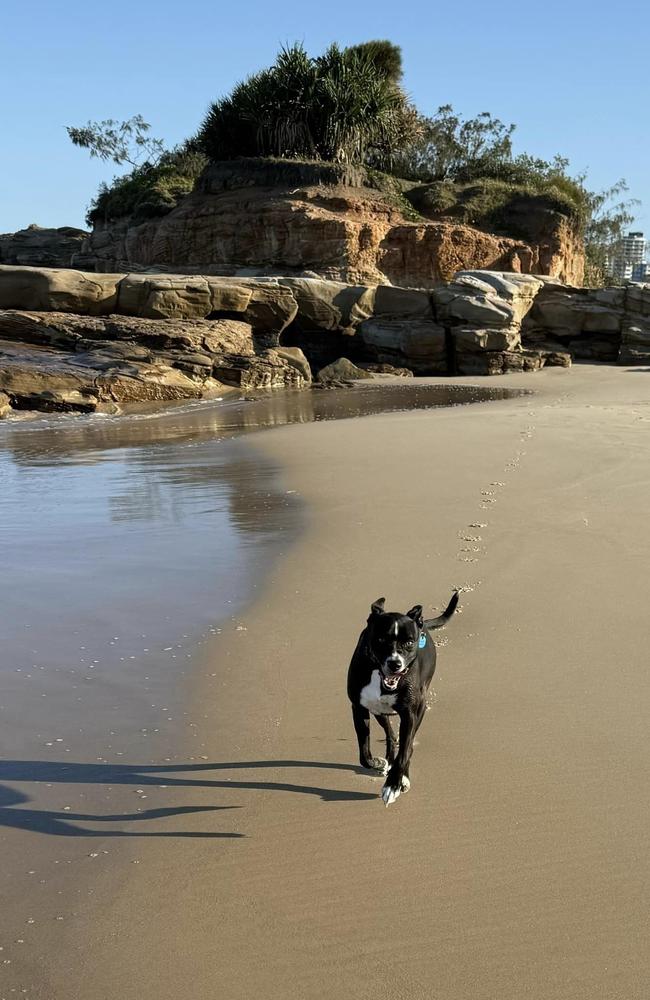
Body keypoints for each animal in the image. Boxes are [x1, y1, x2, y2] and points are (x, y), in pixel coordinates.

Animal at [346, 588, 458, 808]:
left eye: (409, 642)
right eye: (381, 639)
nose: (395, 663)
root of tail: (423, 624)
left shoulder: (410, 714)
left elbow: (405, 750)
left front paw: (394, 784)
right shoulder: (359, 708)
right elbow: (364, 753)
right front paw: (378, 763)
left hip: (420, 709)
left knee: (408, 745)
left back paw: (402, 776)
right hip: (379, 711)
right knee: (390, 734)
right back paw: (388, 759)